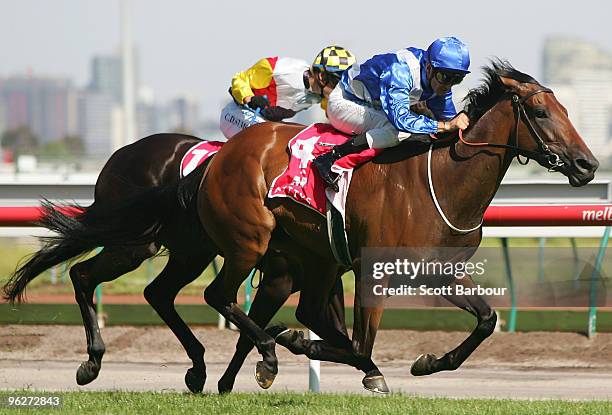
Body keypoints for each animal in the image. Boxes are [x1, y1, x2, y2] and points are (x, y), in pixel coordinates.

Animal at [197, 61, 596, 394]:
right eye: (541, 112)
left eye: (564, 110)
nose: (587, 164)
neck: (444, 182)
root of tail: (223, 152)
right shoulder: (373, 270)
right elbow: (361, 346)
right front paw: (298, 342)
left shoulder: (442, 271)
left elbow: (486, 319)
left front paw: (429, 362)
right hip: (249, 242)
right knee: (219, 295)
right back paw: (262, 355)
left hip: (312, 258)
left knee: (305, 310)